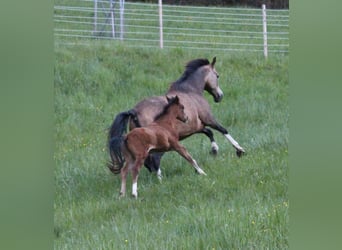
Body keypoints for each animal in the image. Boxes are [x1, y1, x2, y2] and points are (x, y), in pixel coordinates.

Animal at [108, 56, 244, 178]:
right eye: (217, 75)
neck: (190, 91)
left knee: (149, 161)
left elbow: (209, 132)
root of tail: (134, 111)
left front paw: (214, 150)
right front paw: (239, 150)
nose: (220, 96)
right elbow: (222, 130)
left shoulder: (195, 127)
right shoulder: (208, 119)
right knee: (155, 158)